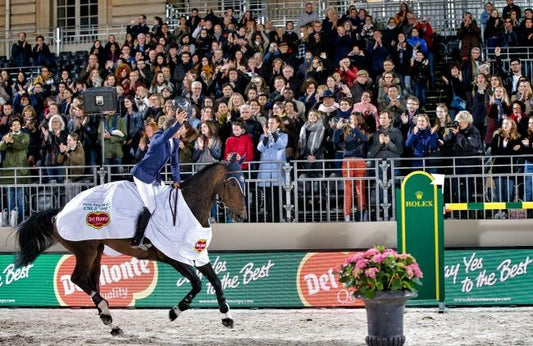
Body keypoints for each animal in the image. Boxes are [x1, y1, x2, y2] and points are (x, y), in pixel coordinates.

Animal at [16, 157, 247, 336]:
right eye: (232, 184)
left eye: (245, 181)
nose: (243, 216)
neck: (189, 207)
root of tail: (59, 212)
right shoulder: (172, 257)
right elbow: (198, 284)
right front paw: (174, 312)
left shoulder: (196, 254)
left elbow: (216, 281)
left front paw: (227, 317)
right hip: (85, 250)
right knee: (78, 278)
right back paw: (107, 314)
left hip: (97, 251)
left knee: (92, 281)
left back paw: (110, 321)